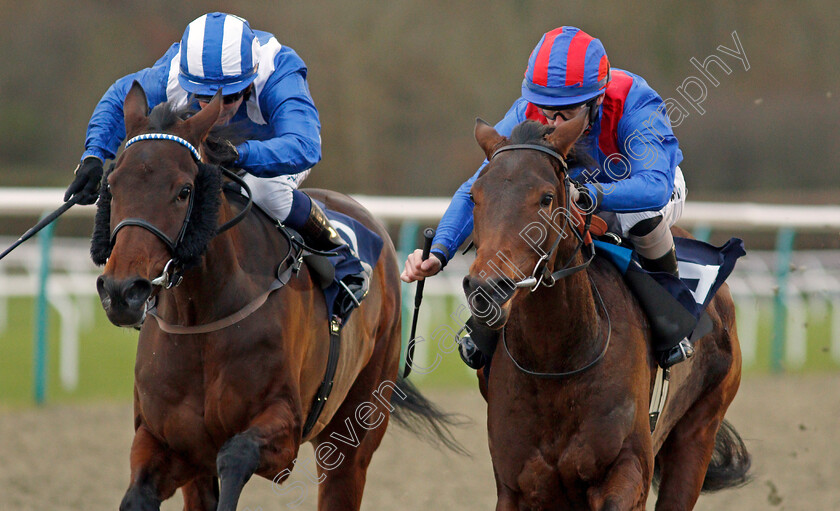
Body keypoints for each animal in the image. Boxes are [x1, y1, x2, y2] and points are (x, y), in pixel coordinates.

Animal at [93, 84, 460, 511]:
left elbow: (236, 456)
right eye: (112, 185)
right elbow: (138, 494)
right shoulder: (167, 440)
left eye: (184, 191)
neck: (202, 318)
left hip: (355, 426)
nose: (122, 291)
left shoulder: (284, 430)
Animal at [466, 113, 748, 511]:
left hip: (698, 430)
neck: (556, 363)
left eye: (547, 198)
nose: (488, 289)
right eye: (474, 196)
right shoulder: (517, 485)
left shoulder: (629, 469)